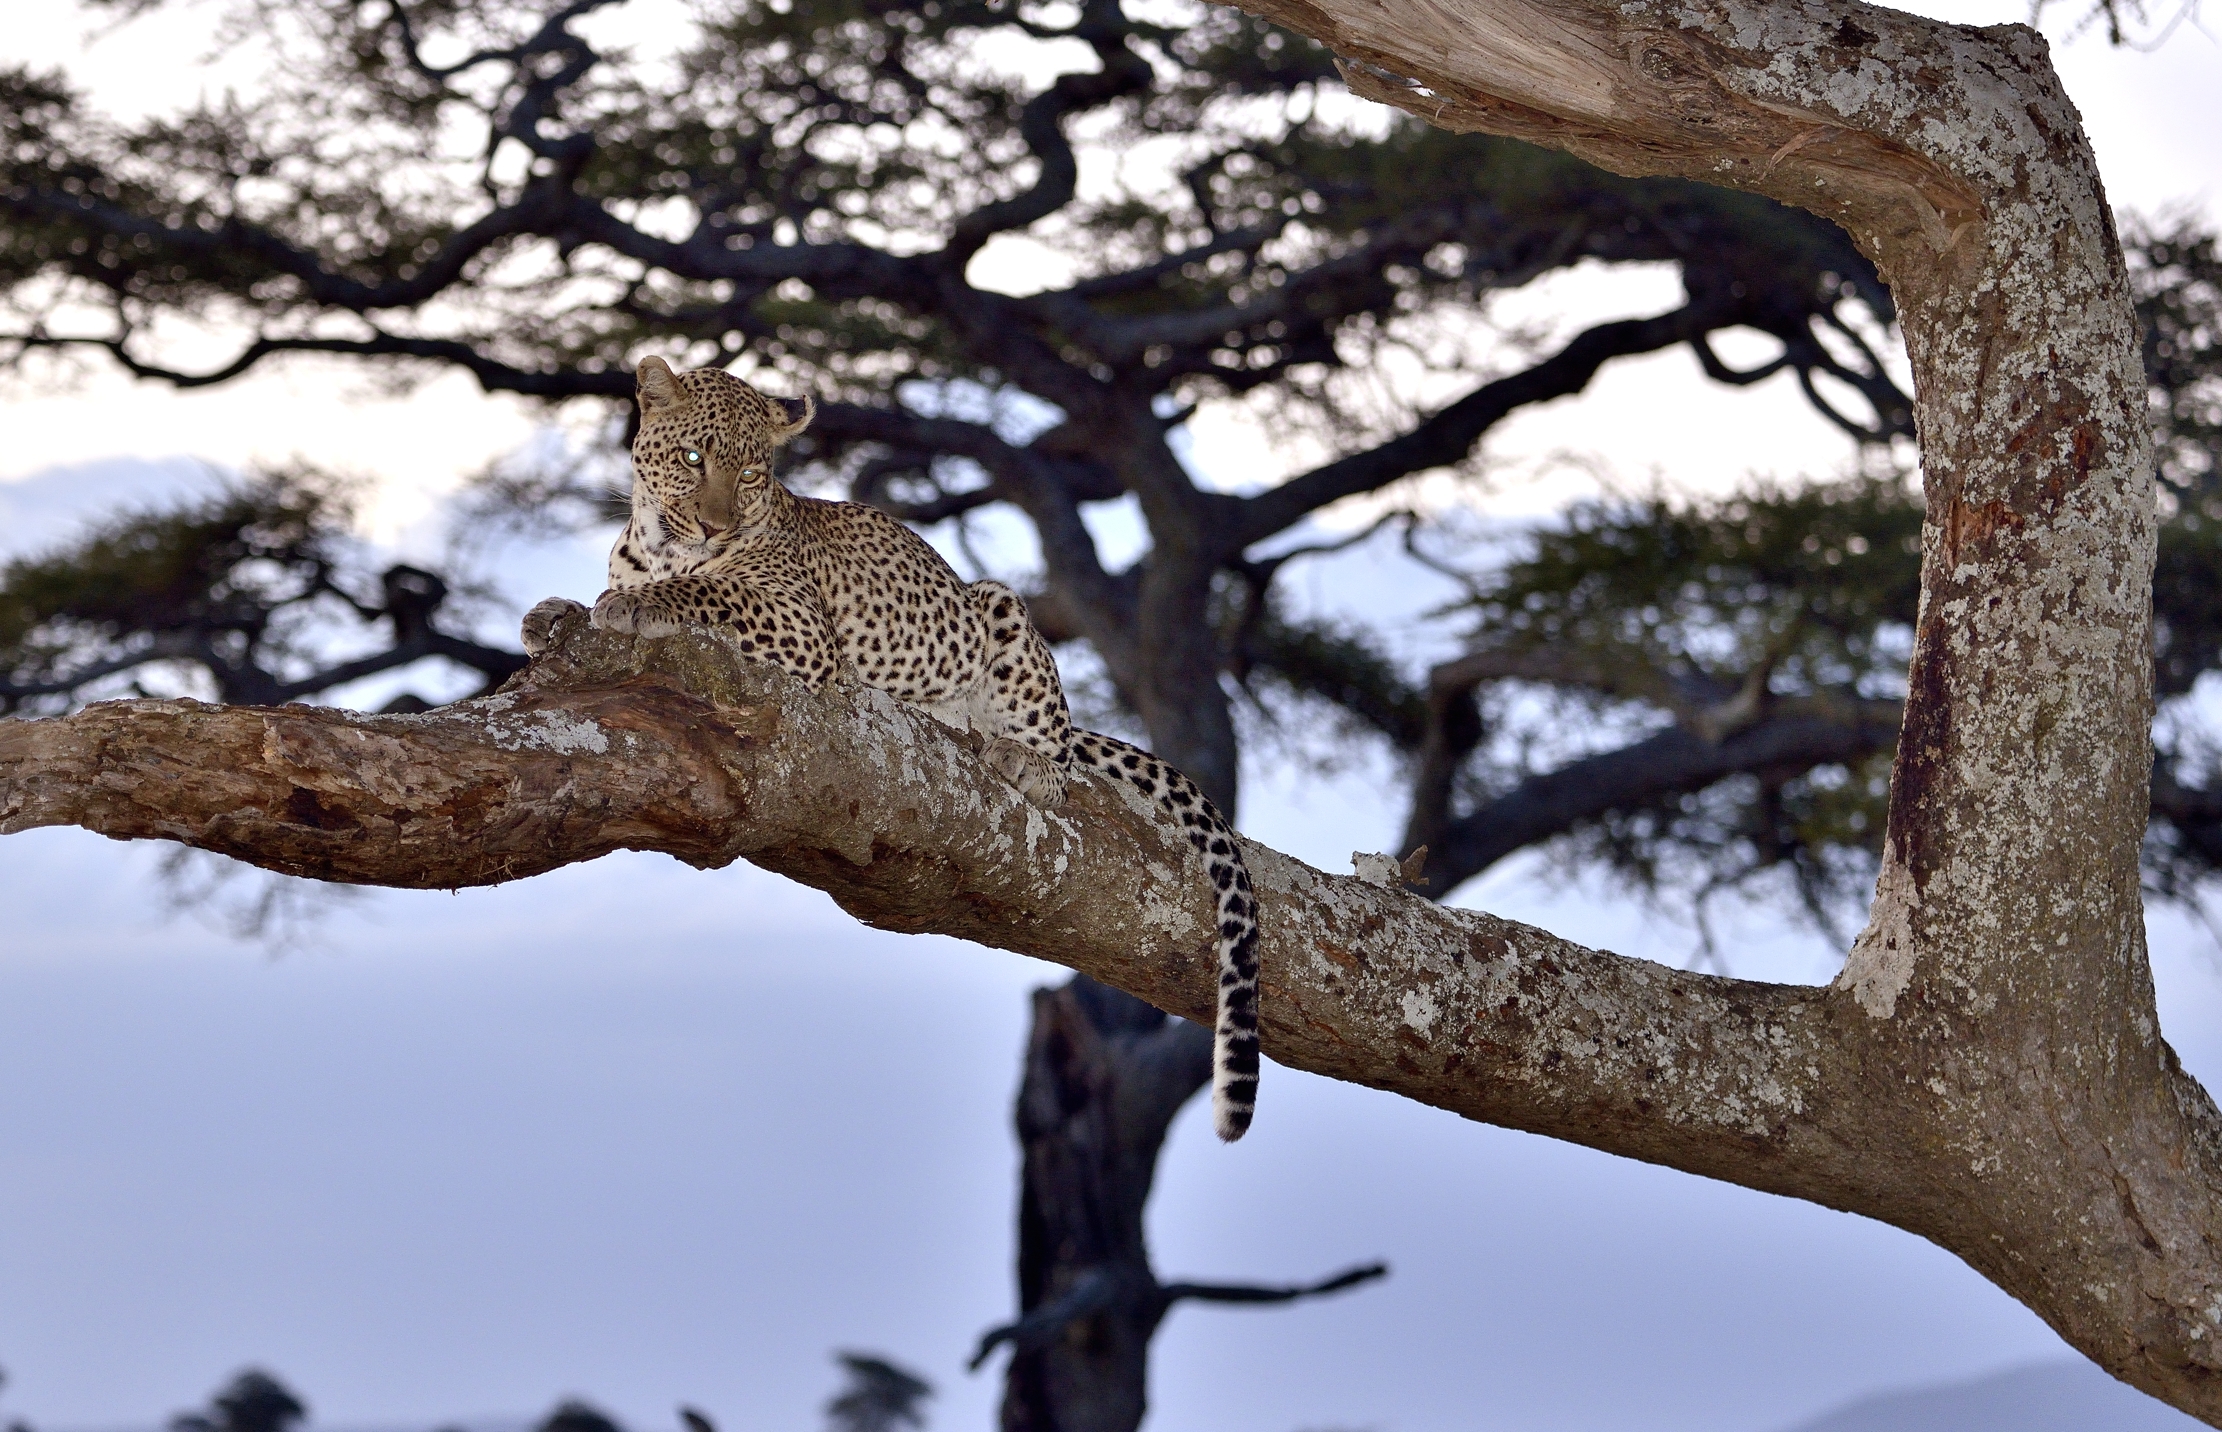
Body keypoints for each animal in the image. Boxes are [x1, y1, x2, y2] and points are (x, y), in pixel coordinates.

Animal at [520, 356, 1263, 1141]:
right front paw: (554, 613)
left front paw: (639, 604)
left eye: (750, 473)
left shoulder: (797, 622)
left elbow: (710, 592)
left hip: (1001, 611)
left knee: (1058, 762)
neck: (661, 545)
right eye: (694, 458)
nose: (715, 524)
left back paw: (1022, 757)